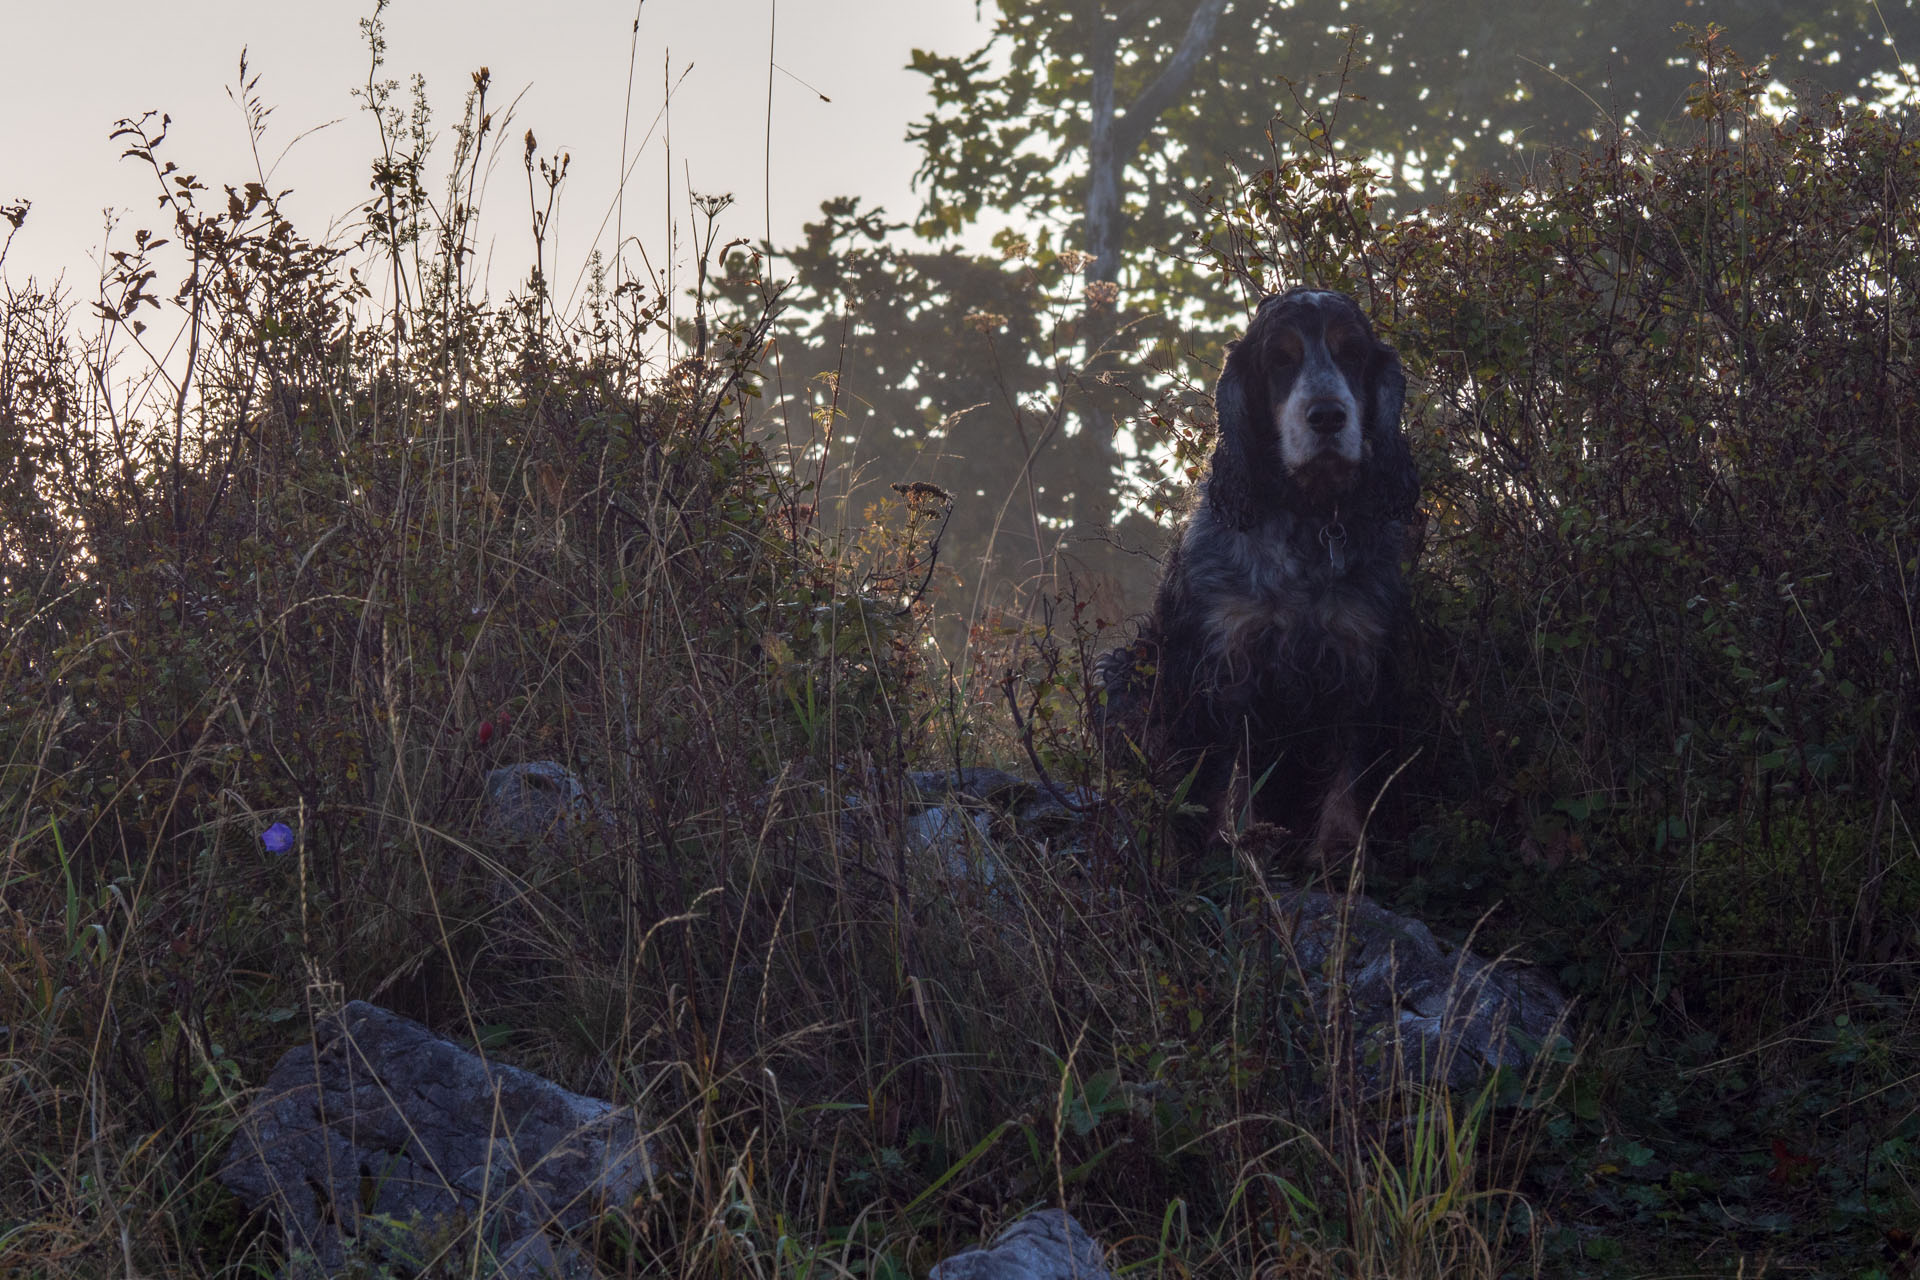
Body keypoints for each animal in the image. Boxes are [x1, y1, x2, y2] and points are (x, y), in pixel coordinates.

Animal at [1105, 293, 1420, 859]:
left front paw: (1338, 857)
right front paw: (1219, 846)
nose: (1327, 416)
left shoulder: (1361, 661)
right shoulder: (1223, 661)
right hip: (1123, 673)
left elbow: (1349, 777)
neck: (1309, 516)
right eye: (1280, 359)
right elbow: (1215, 774)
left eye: (1352, 353)